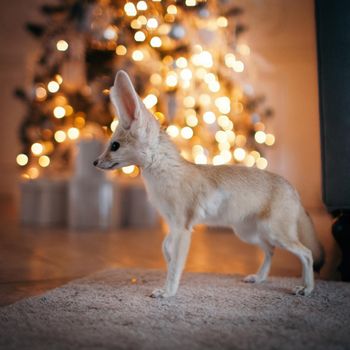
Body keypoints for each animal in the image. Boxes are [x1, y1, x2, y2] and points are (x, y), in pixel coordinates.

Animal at [94, 70, 324, 298]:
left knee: (307, 253)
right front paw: (168, 265)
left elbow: (175, 265)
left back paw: (307, 288)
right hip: (249, 233)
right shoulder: (173, 225)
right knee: (271, 250)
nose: (94, 162)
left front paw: (168, 292)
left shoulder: (183, 227)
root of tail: (292, 188)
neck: (166, 173)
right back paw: (260, 278)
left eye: (114, 146)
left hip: (274, 233)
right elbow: (165, 248)